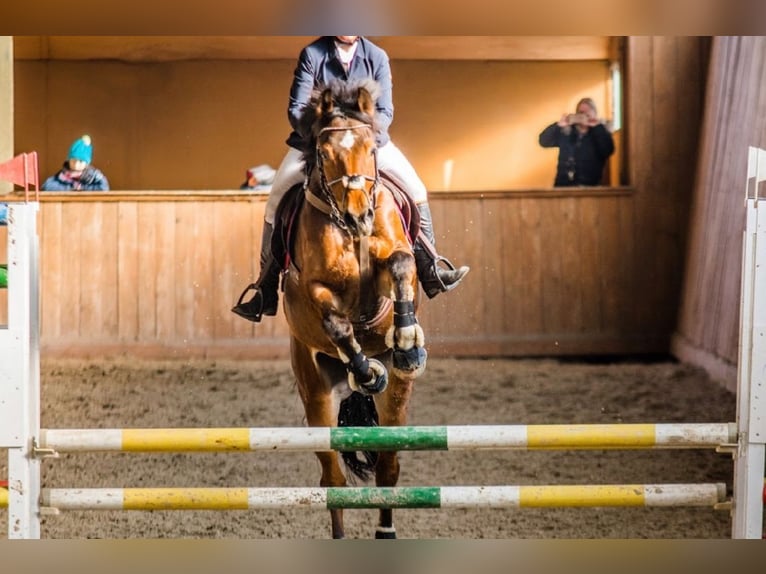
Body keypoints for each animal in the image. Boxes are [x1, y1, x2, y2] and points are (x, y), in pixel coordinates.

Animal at [282, 79, 428, 544]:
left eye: (369, 147)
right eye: (325, 153)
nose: (358, 214)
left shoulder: (391, 264)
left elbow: (400, 265)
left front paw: (407, 340)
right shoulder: (314, 287)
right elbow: (336, 323)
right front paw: (364, 370)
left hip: (397, 401)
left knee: (388, 465)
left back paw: (386, 530)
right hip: (316, 394)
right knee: (333, 479)